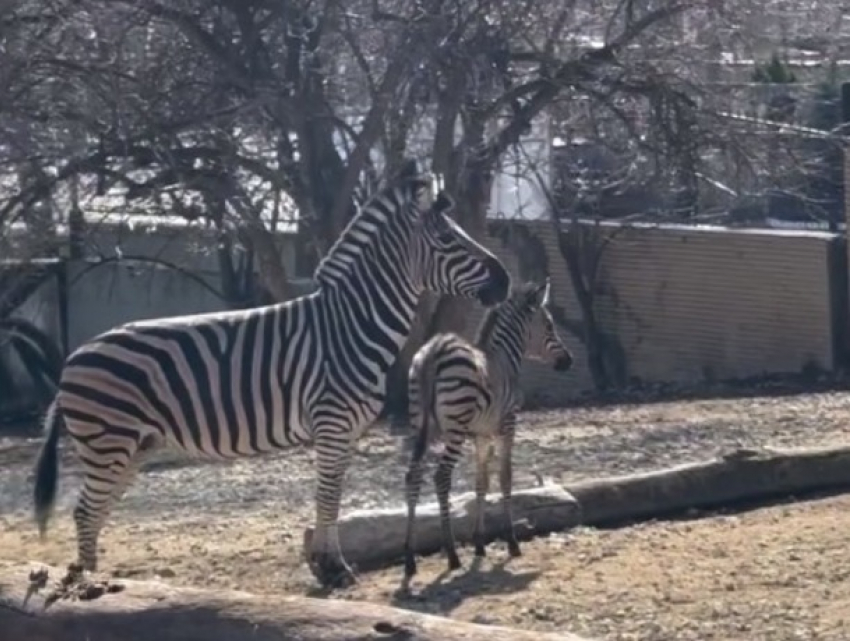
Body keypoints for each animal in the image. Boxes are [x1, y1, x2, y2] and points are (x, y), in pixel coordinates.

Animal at [34, 159, 510, 584]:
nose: (505, 280)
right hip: (109, 442)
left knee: (94, 511)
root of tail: (74, 357)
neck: (350, 325)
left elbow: (332, 496)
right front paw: (333, 569)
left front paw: (325, 562)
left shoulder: (347, 430)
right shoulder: (332, 423)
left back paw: (99, 580)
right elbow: (328, 494)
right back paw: (91, 585)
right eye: (447, 237)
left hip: (132, 446)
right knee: (86, 511)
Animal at [402, 278, 568, 576]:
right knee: (441, 477)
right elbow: (504, 478)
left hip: (420, 424)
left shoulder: (481, 434)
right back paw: (452, 554)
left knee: (413, 476)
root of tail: (435, 348)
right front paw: (512, 542)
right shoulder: (508, 424)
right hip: (455, 427)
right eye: (549, 326)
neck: (504, 356)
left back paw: (409, 559)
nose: (568, 361)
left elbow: (482, 482)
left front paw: (479, 543)